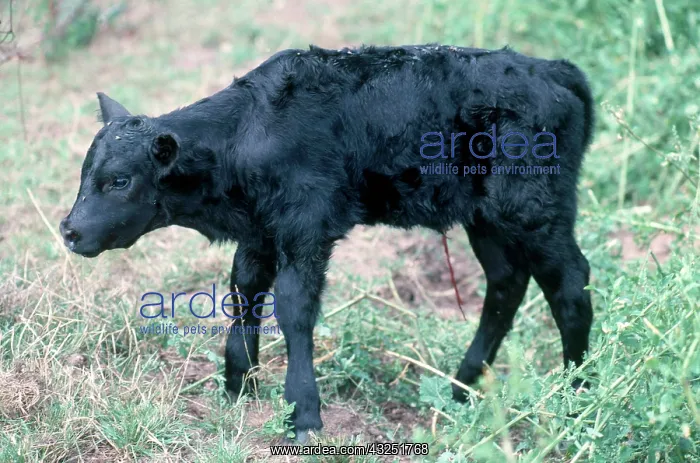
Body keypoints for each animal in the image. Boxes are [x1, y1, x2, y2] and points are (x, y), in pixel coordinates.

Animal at [60, 44, 595, 443]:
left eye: (120, 180)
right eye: (85, 172)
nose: (69, 229)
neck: (250, 131)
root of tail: (555, 69)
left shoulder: (306, 227)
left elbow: (294, 307)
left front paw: (303, 414)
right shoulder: (260, 231)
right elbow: (244, 292)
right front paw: (238, 386)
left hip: (535, 208)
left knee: (570, 285)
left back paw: (577, 399)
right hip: (486, 217)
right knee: (507, 282)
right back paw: (461, 388)